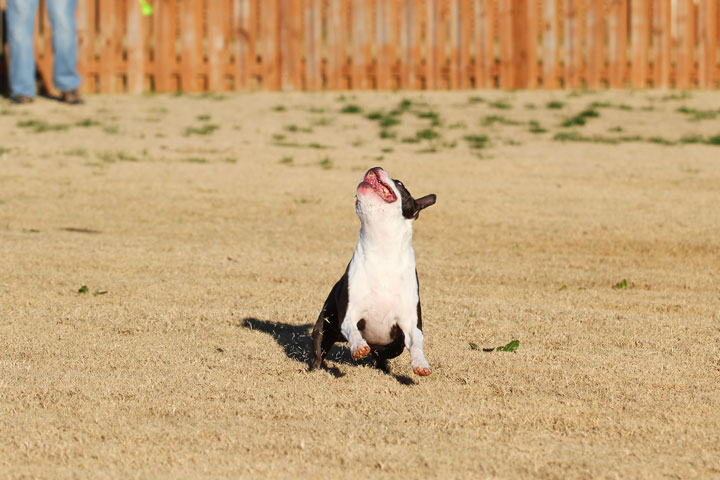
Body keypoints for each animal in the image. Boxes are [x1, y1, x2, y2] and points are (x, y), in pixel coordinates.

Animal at [308, 168, 436, 376]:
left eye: (399, 183)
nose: (375, 168)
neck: (382, 249)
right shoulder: (349, 311)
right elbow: (351, 328)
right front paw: (359, 346)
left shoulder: (411, 322)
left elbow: (415, 343)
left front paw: (421, 363)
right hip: (323, 327)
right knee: (319, 352)